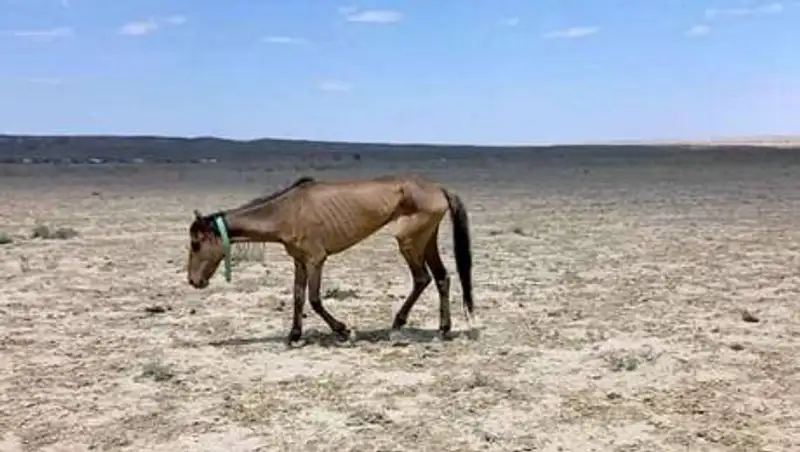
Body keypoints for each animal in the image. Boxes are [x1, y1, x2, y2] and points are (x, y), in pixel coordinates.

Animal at [188, 175, 476, 344]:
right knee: (441, 278)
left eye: (195, 243)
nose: (193, 281)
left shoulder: (316, 259)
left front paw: (344, 330)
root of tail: (440, 189)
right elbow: (298, 296)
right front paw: (294, 335)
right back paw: (443, 329)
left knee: (422, 278)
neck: (288, 211)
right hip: (426, 240)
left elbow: (314, 299)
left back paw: (398, 325)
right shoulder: (299, 261)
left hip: (409, 241)